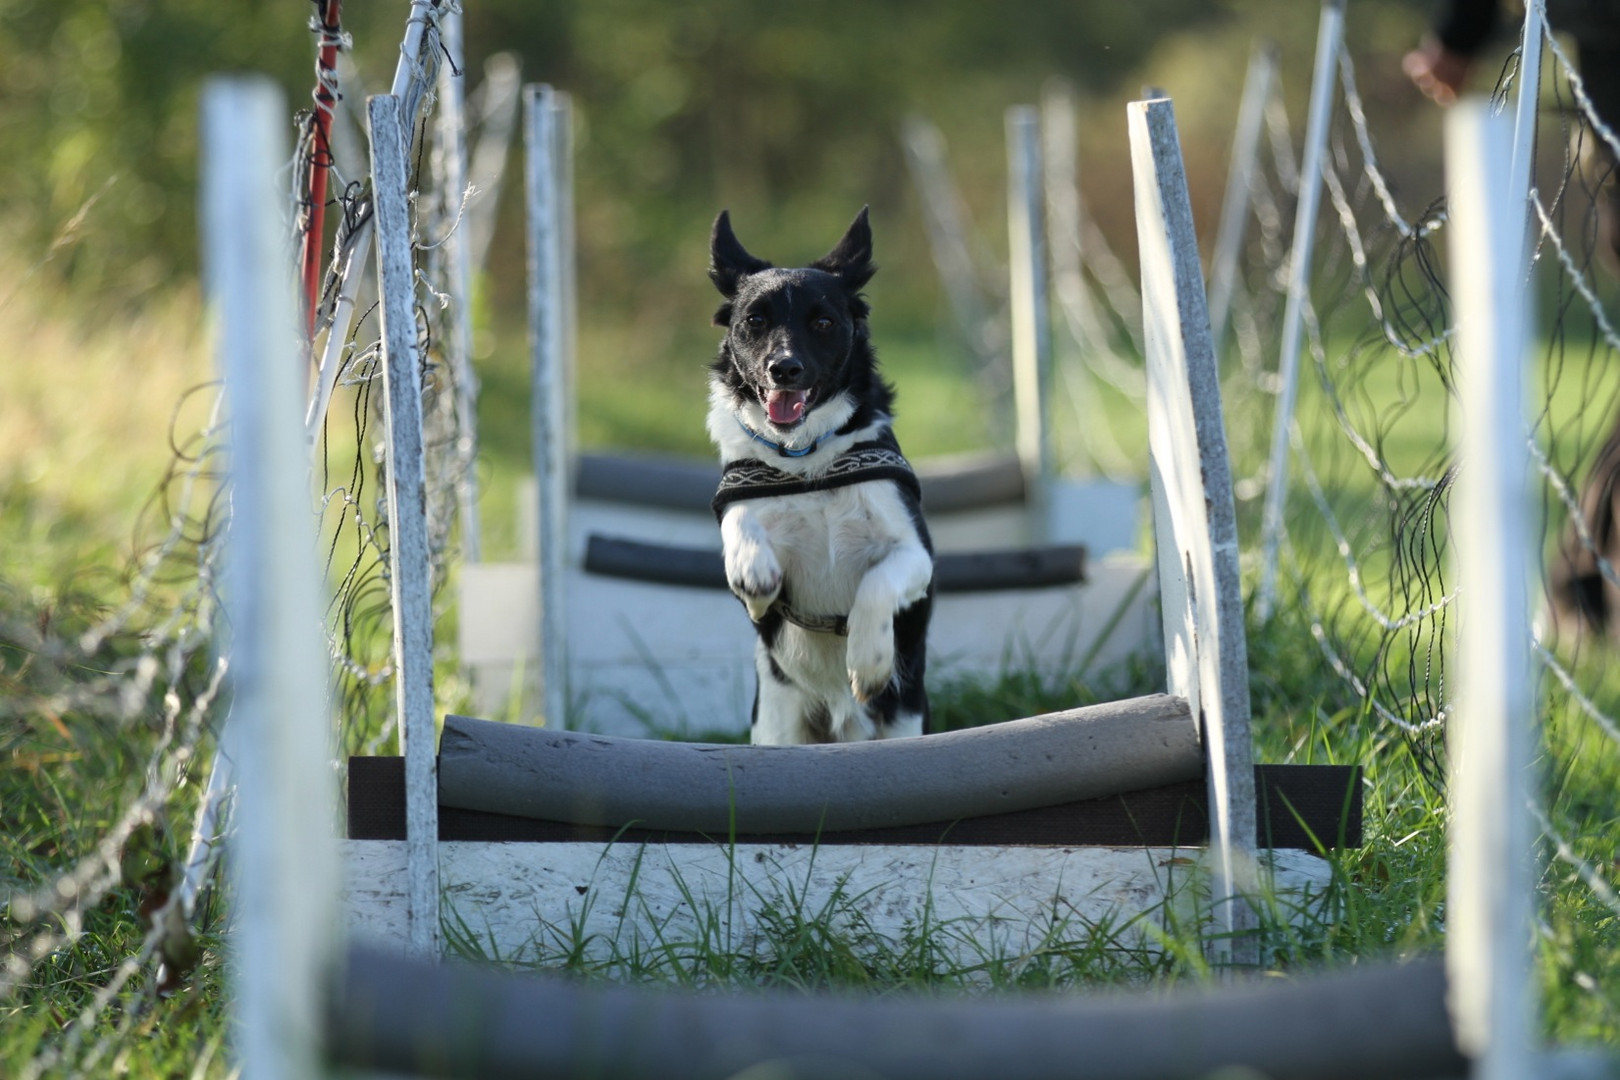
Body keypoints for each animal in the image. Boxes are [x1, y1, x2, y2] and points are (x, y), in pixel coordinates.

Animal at [709, 204, 939, 744]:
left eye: (823, 322)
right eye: (754, 320)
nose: (784, 368)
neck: (806, 457)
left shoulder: (916, 555)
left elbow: (877, 583)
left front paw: (868, 661)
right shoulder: (736, 494)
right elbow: (742, 521)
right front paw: (753, 573)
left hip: (903, 723)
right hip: (776, 724)